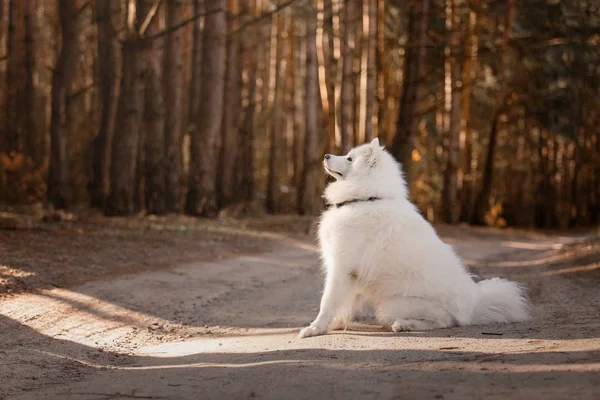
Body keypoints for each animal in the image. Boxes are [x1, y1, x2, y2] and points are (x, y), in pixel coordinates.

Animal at [298, 138, 528, 338]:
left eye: (349, 159)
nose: (326, 155)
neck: (367, 198)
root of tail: (472, 307)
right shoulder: (349, 274)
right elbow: (344, 303)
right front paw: (335, 325)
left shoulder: (342, 267)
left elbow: (328, 301)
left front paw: (314, 329)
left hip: (392, 304)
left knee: (444, 320)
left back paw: (404, 324)